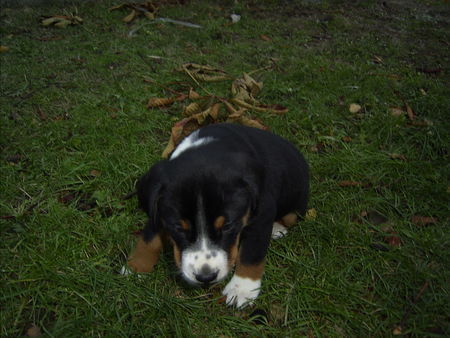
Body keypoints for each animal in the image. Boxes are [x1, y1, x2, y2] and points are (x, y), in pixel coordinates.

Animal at [123, 123, 310, 308]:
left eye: (227, 226)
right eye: (179, 228)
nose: (205, 277)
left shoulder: (262, 214)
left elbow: (251, 253)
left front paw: (242, 288)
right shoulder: (157, 209)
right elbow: (149, 239)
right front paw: (136, 267)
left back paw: (277, 228)